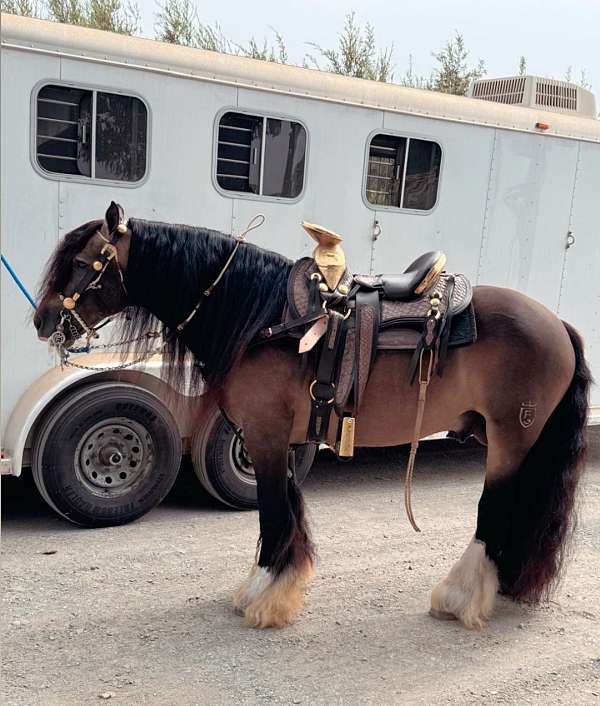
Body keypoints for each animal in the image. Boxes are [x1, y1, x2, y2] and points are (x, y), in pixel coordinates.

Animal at [34, 202, 592, 628]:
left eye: (82, 261)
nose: (42, 321)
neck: (263, 319)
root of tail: (559, 325)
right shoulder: (278, 439)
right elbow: (285, 512)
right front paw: (275, 586)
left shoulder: (265, 435)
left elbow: (273, 512)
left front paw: (264, 597)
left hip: (510, 438)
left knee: (494, 511)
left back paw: (459, 598)